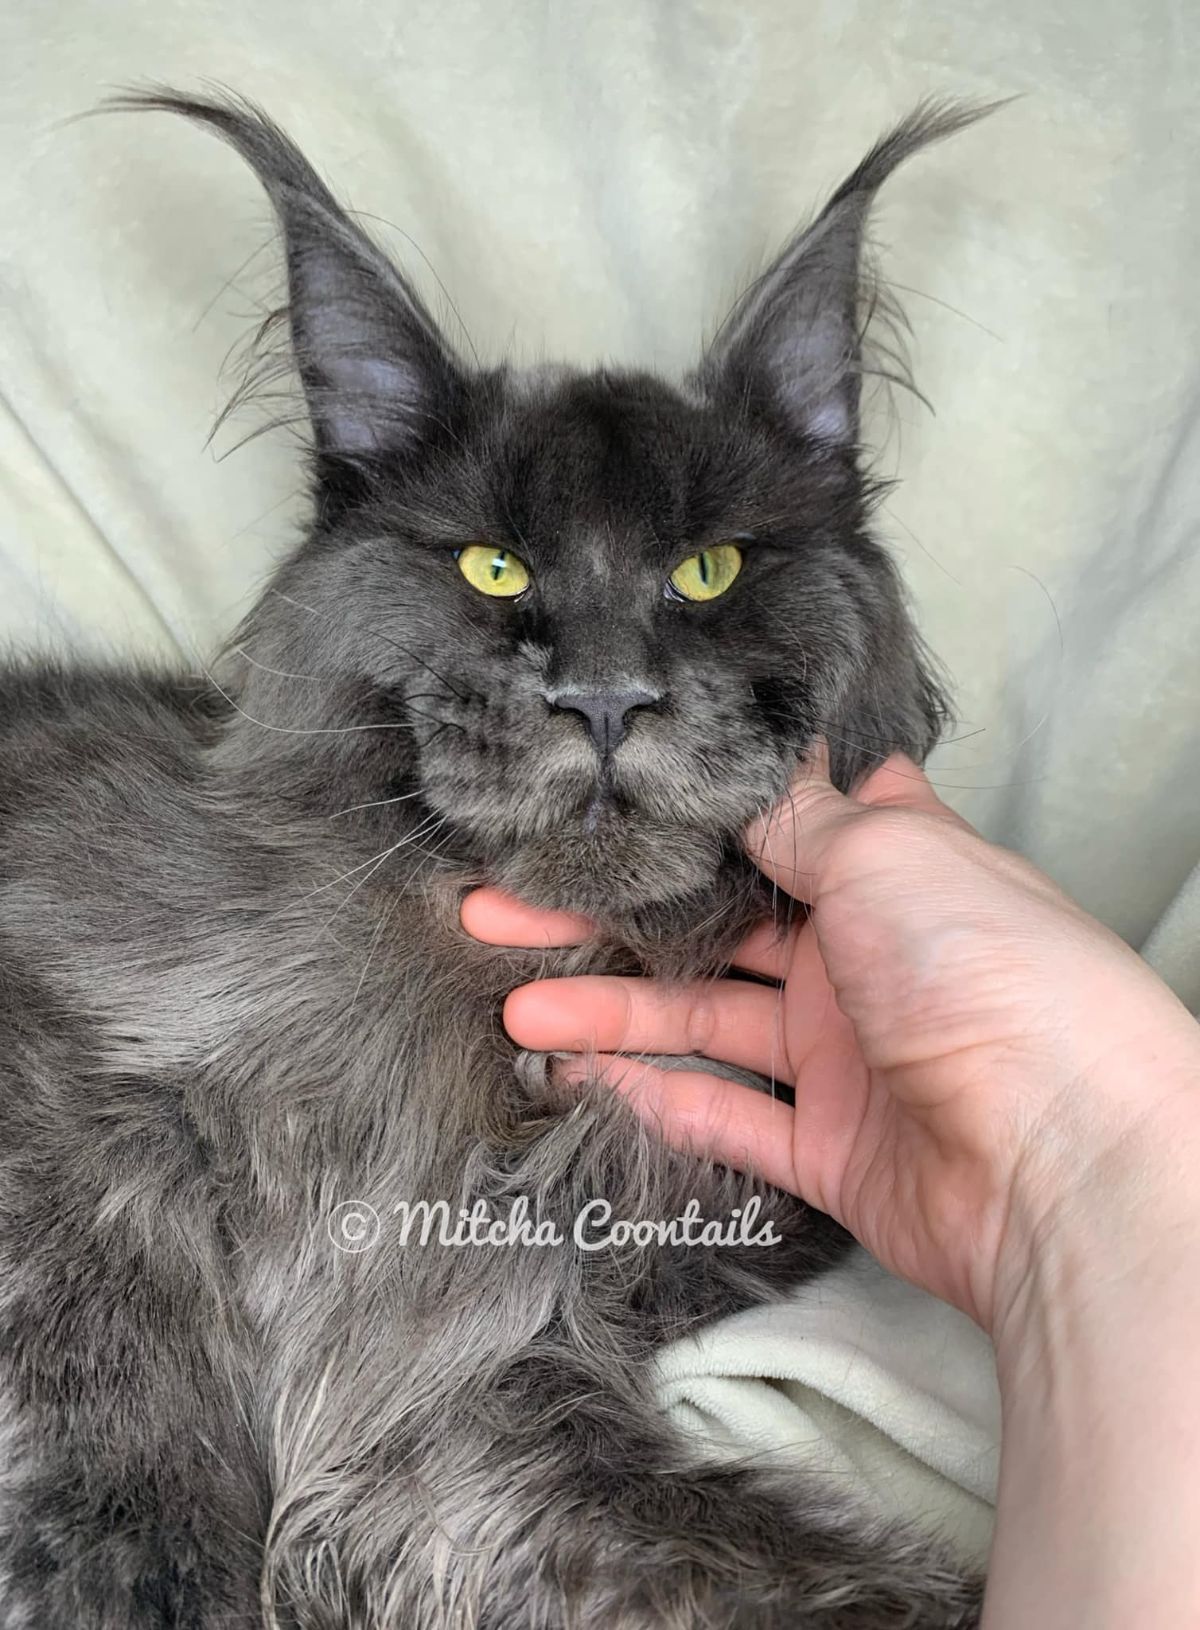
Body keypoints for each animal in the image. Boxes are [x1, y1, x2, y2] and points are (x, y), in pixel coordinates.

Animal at [0, 92, 991, 1630]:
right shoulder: (57, 1067)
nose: (604, 696)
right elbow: (119, 1312)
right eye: (493, 568)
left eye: (705, 570)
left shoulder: (476, 1389)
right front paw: (149, 1572)